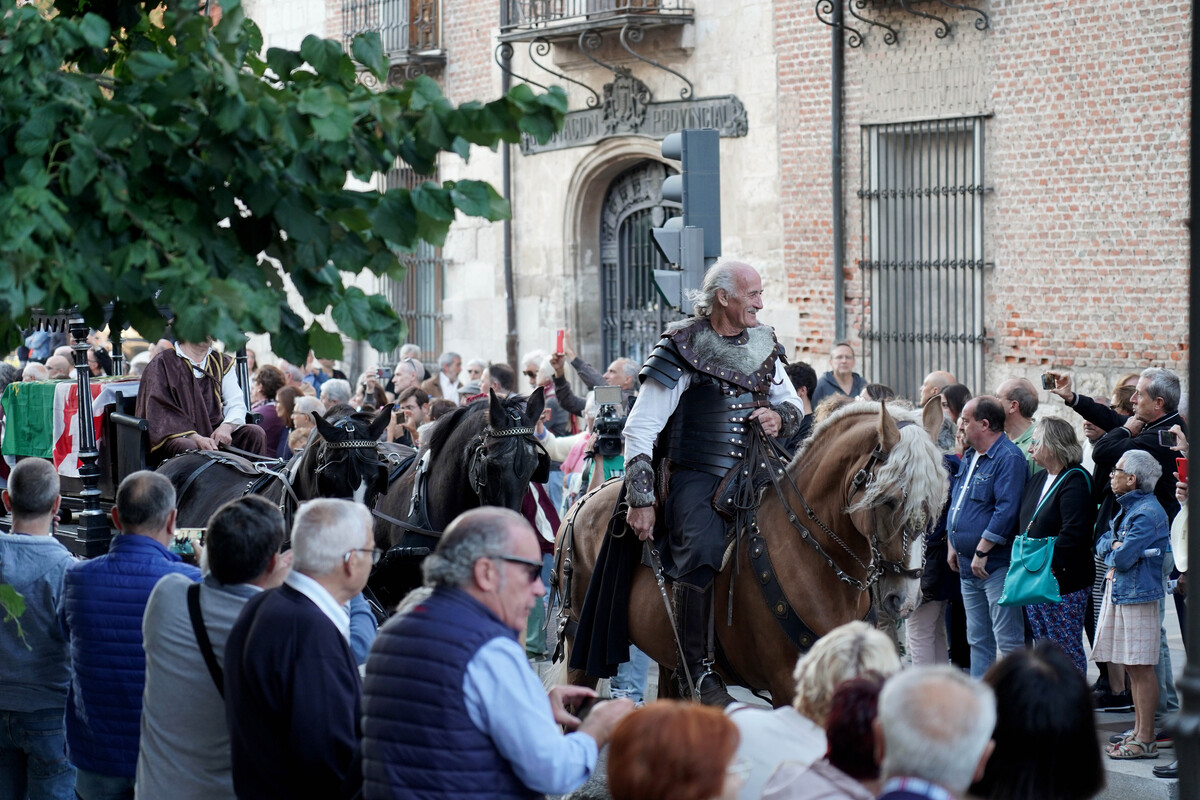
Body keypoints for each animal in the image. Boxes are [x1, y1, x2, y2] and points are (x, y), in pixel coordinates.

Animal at [552, 400, 945, 705]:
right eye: (889, 500)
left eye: (936, 503)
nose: (904, 599)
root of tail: (581, 503)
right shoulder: (787, 684)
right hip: (580, 640)